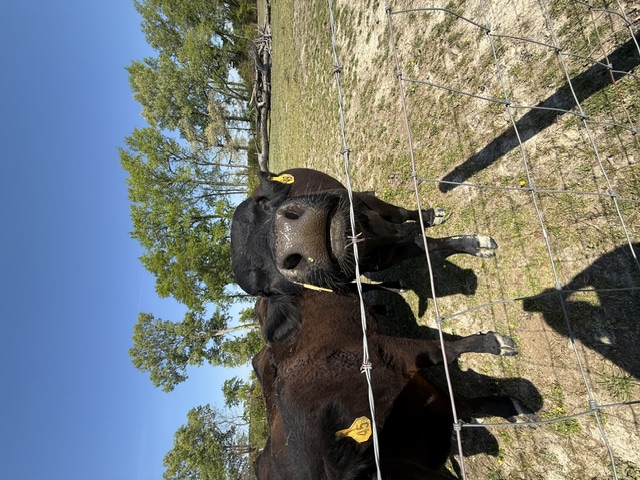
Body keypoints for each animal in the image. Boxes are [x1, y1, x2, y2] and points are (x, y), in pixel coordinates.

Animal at [231, 168, 498, 296]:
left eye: (262, 202)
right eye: (267, 290)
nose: (290, 237)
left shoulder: (365, 203)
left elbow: (403, 215)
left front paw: (473, 242)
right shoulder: (387, 257)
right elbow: (424, 244)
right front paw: (475, 244)